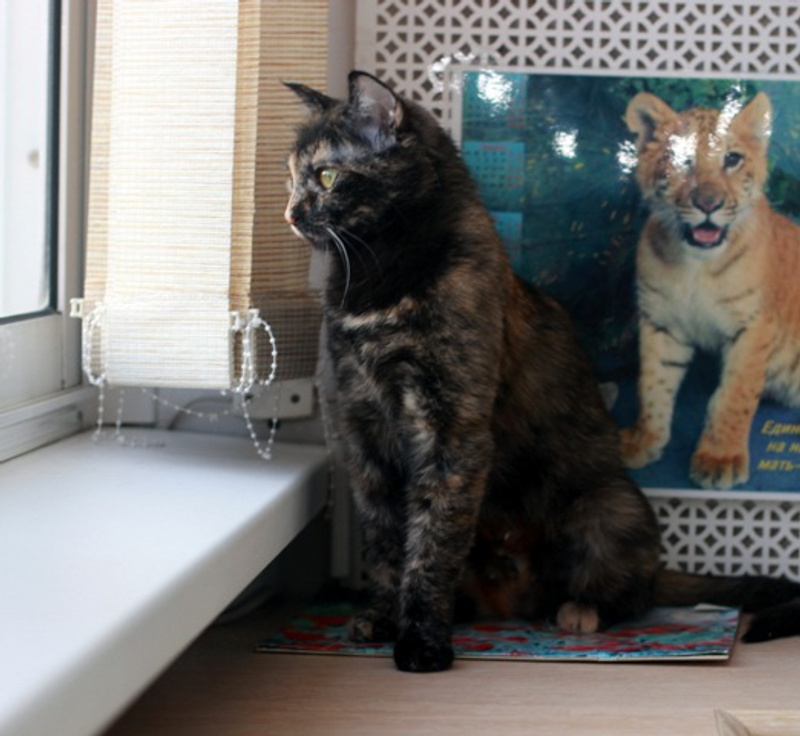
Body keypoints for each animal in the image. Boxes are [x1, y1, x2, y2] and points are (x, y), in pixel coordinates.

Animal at [620, 91, 800, 489]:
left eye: (732, 159)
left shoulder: (754, 328)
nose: (708, 204)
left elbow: (734, 395)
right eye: (682, 159)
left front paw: (720, 459)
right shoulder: (661, 322)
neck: (696, 268)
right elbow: (652, 384)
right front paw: (643, 440)